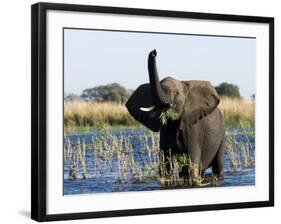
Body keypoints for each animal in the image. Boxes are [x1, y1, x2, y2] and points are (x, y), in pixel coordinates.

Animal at [126, 49, 224, 182]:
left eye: (176, 94)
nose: (154, 52)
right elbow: (164, 165)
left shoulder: (193, 130)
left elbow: (192, 165)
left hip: (222, 135)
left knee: (217, 165)